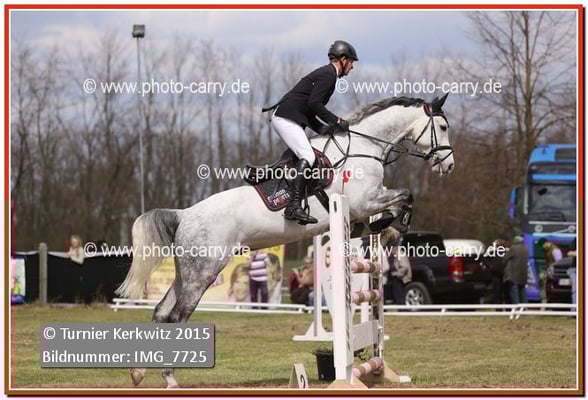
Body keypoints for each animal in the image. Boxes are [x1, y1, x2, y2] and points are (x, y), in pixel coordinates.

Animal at [116, 94, 454, 388]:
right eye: (443, 127)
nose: (448, 166)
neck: (364, 145)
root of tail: (184, 215)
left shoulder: (365, 207)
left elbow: (395, 204)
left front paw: (389, 226)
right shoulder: (362, 202)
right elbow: (406, 195)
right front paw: (397, 222)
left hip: (186, 272)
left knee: (161, 313)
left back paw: (138, 373)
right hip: (203, 272)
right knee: (177, 316)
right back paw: (171, 378)